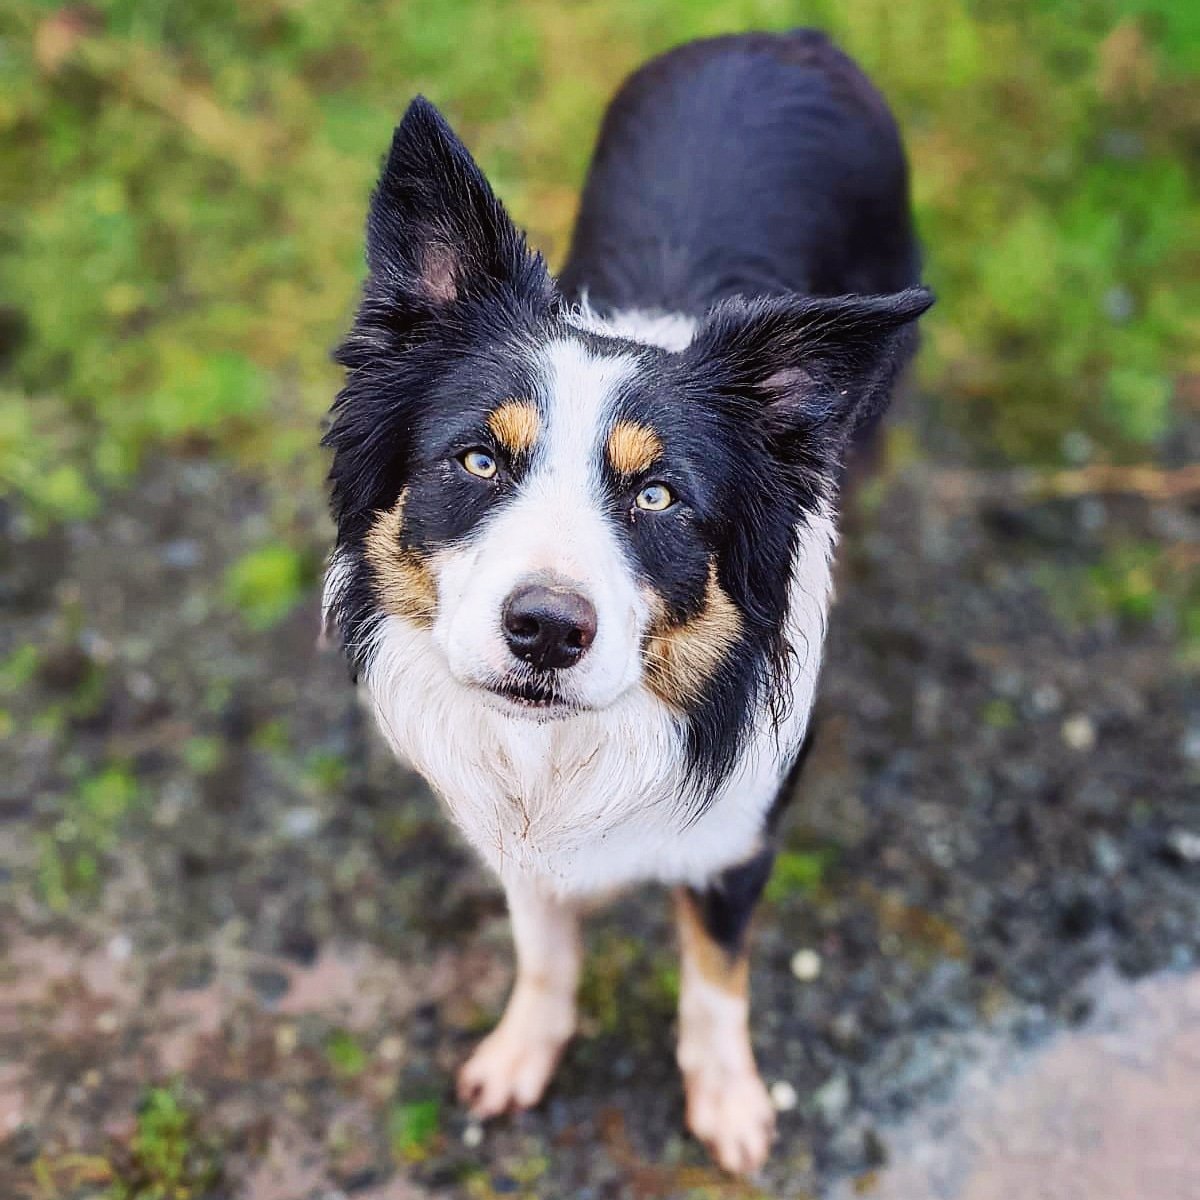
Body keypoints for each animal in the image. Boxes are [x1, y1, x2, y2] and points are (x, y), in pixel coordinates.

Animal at [324, 30, 931, 1180]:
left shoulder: (740, 835)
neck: (576, 747)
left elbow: (715, 977)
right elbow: (543, 946)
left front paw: (729, 1101)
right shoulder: (513, 828)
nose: (546, 632)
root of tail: (788, 38)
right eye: (479, 460)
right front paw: (525, 1049)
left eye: (657, 497)